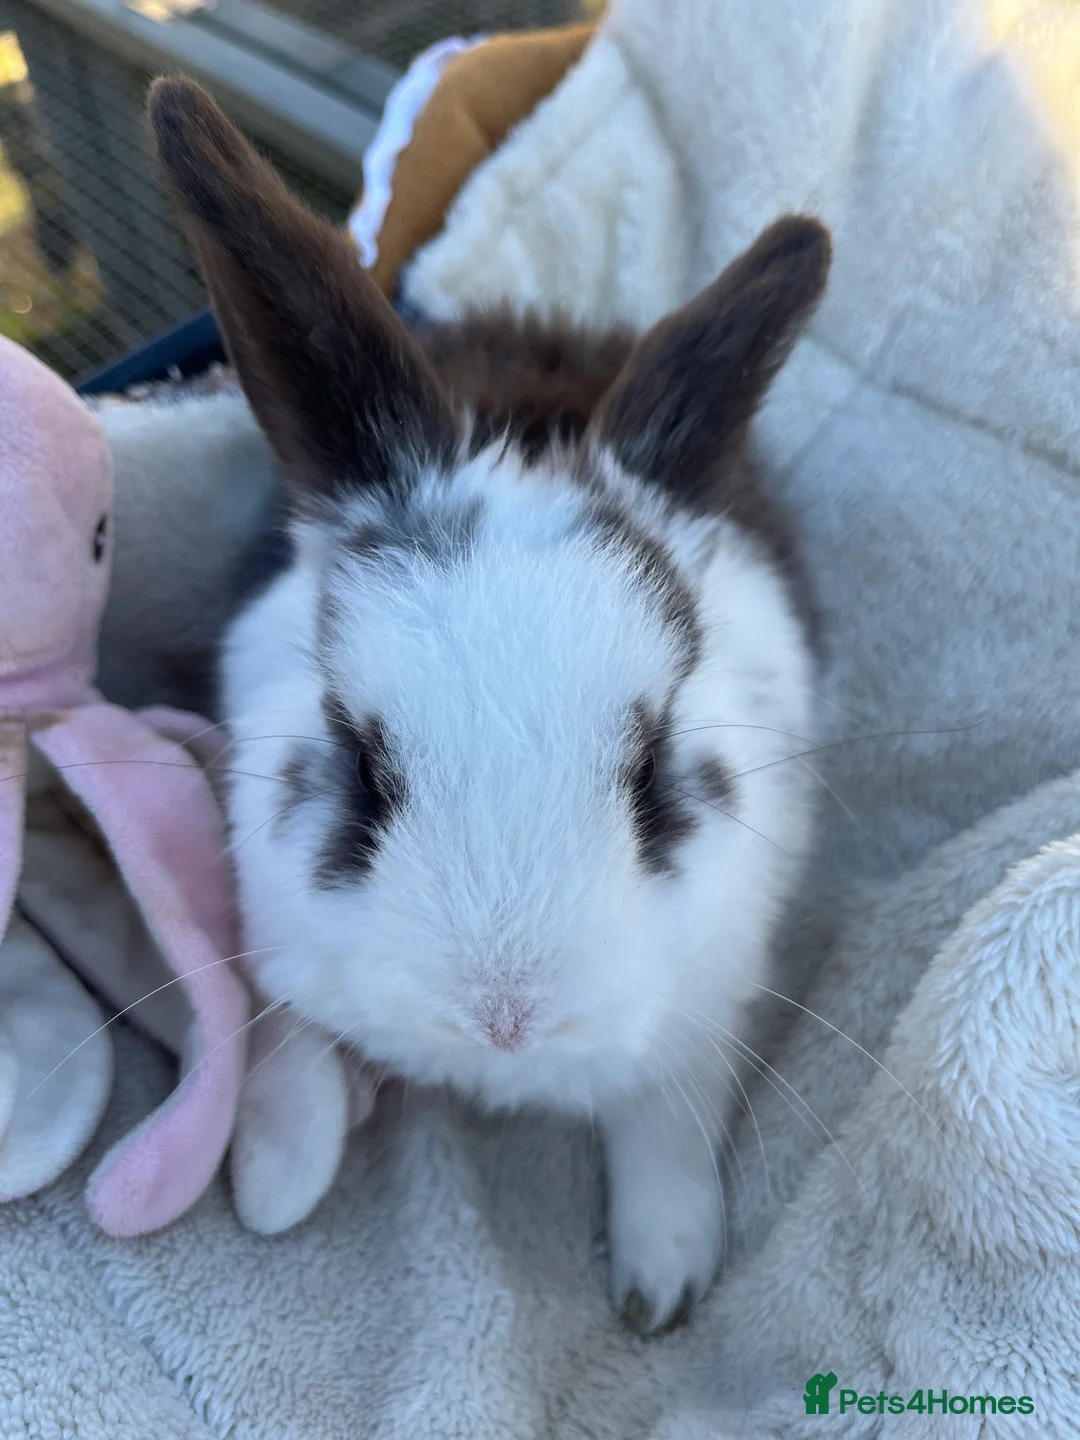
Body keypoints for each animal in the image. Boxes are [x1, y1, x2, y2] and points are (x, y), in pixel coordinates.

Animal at [148, 76, 830, 1335]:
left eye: (653, 778)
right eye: (362, 768)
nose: (504, 1017)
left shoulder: (706, 1004)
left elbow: (667, 1126)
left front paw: (662, 1286)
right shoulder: (280, 940)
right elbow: (292, 1054)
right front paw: (274, 1184)